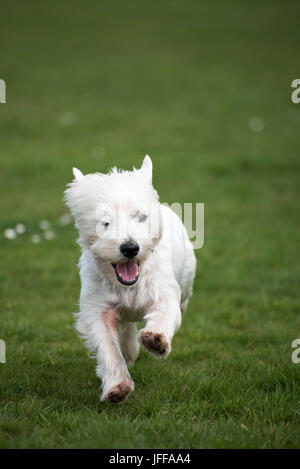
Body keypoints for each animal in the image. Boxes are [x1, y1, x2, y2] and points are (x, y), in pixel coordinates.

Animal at [64, 154, 196, 402]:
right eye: (105, 222)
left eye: (140, 217)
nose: (130, 248)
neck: (127, 284)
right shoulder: (97, 309)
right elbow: (108, 348)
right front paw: (117, 387)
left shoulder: (163, 292)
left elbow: (164, 313)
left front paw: (156, 340)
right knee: (125, 328)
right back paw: (129, 351)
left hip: (186, 276)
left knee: (183, 299)